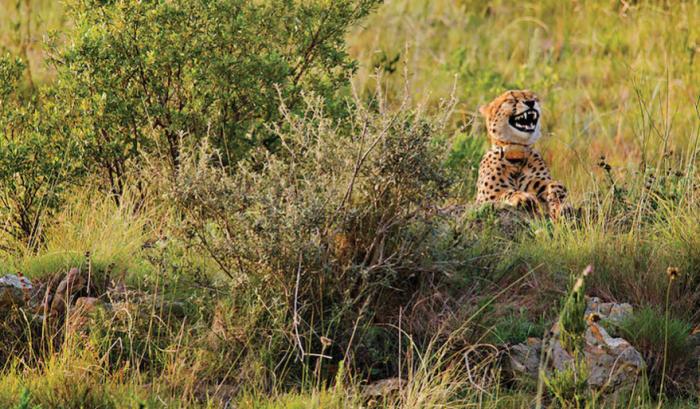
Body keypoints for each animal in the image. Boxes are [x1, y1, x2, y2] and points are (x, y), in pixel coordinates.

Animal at [474, 88, 572, 218]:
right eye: (511, 99)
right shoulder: (485, 198)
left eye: (533, 97)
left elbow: (555, 185)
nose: (530, 102)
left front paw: (561, 204)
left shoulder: (541, 183)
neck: (516, 152)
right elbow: (506, 192)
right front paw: (522, 197)